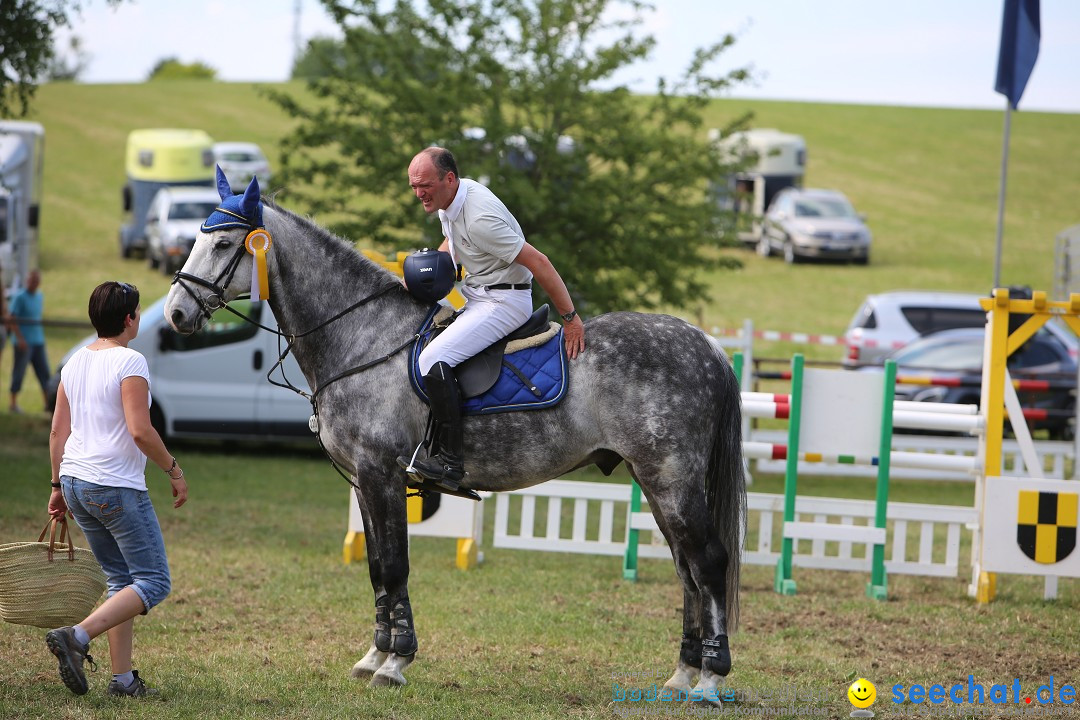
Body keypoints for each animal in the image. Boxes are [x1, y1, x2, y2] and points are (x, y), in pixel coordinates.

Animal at [164, 171, 747, 695]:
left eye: (222, 243)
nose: (175, 313)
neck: (362, 338)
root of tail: (709, 346)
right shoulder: (363, 483)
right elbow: (377, 569)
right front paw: (374, 654)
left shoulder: (382, 475)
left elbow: (395, 566)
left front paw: (395, 663)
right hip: (655, 481)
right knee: (686, 569)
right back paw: (681, 674)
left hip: (671, 479)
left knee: (708, 562)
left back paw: (710, 679)